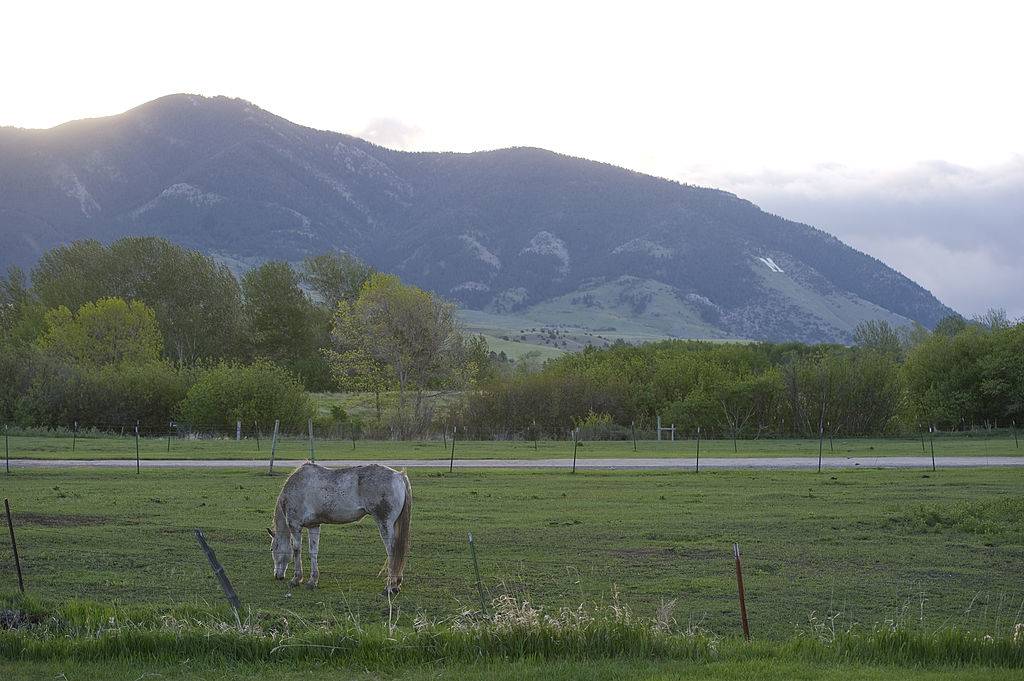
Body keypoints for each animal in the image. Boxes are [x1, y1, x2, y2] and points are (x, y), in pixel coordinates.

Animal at [267, 462, 412, 594]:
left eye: (272, 548)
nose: (277, 576)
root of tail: (399, 476)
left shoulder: (294, 525)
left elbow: (297, 550)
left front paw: (296, 579)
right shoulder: (314, 526)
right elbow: (313, 551)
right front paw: (312, 581)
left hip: (385, 524)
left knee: (392, 552)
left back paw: (390, 586)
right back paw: (396, 584)